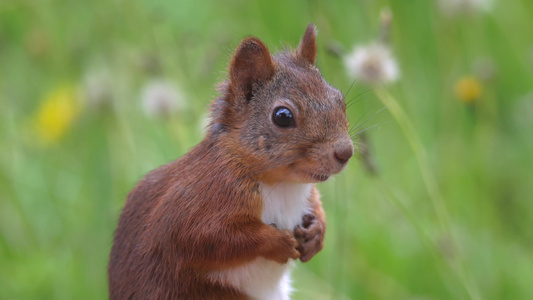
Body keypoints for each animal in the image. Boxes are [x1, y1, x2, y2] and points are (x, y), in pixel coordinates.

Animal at [108, 24, 354, 300]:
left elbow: (316, 205)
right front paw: (278, 242)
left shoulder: (307, 193)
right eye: (282, 116)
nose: (345, 152)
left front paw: (317, 234)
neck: (283, 185)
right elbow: (206, 238)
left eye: (339, 100)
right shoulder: (198, 201)